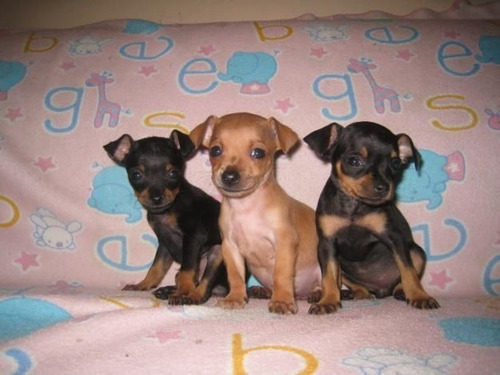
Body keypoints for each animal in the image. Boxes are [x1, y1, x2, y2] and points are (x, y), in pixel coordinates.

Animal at [103, 132, 225, 306]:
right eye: (136, 175)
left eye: (173, 173)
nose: (156, 198)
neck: (167, 211)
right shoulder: (164, 244)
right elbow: (156, 267)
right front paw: (143, 284)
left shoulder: (193, 237)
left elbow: (187, 269)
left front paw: (182, 292)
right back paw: (167, 291)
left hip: (218, 252)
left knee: (205, 284)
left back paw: (192, 296)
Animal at [189, 112, 322, 314]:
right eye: (215, 151)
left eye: (258, 153)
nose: (229, 176)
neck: (246, 207)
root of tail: (302, 294)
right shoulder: (230, 247)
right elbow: (236, 276)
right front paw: (235, 298)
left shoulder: (284, 242)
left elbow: (281, 273)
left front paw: (282, 301)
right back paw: (263, 291)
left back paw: (317, 293)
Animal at [302, 122, 440, 314]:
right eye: (354, 161)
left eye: (395, 163)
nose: (383, 187)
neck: (354, 206)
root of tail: (380, 290)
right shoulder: (327, 244)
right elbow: (328, 276)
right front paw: (328, 300)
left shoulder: (395, 239)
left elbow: (408, 271)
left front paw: (419, 296)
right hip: (342, 264)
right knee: (354, 285)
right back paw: (353, 293)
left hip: (416, 252)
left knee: (404, 276)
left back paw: (401, 291)